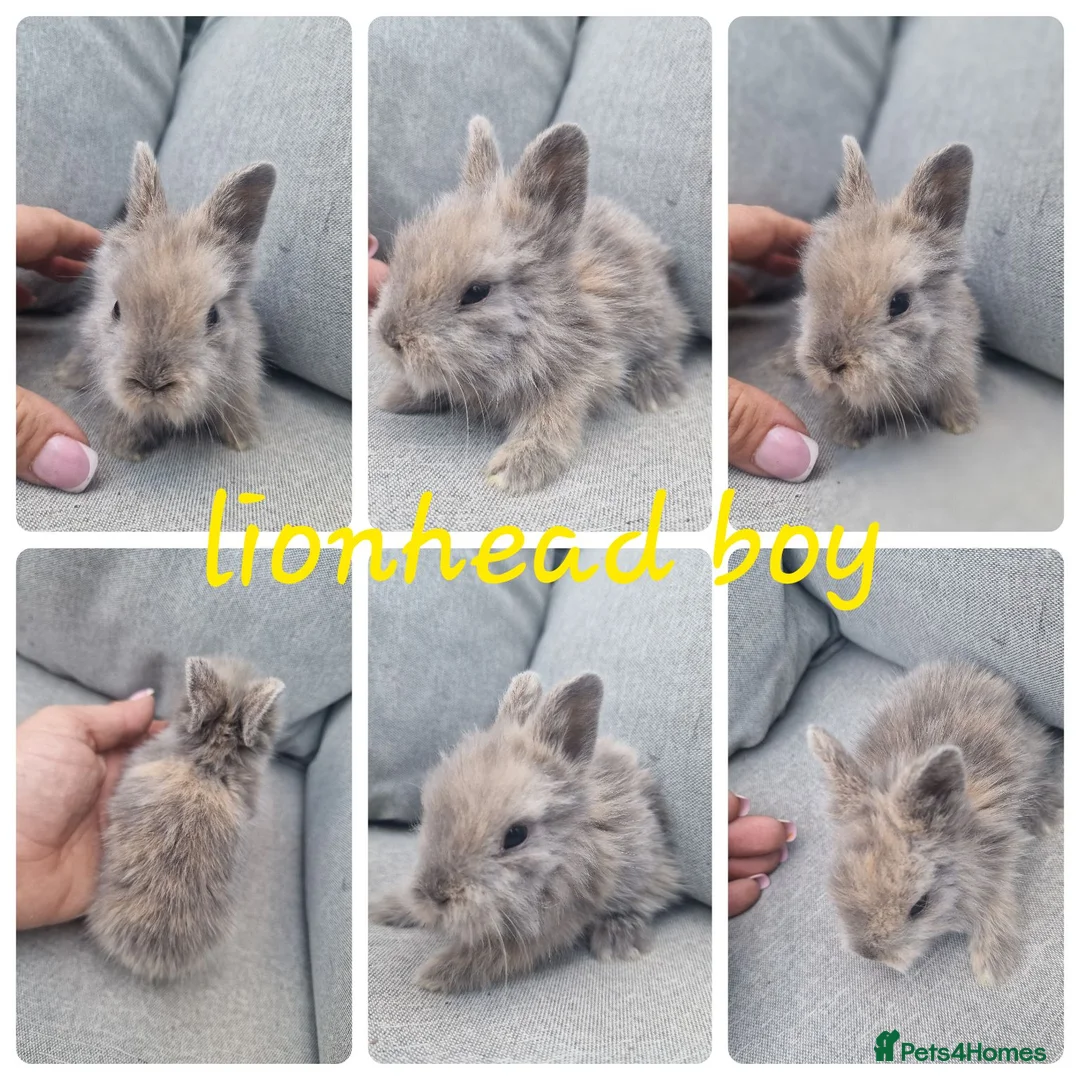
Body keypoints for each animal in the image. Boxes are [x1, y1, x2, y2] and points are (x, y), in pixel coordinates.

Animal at [369, 116, 691, 494]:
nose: (391, 338)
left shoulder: (581, 376)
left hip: (657, 319)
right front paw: (397, 397)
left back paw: (659, 392)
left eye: (477, 291)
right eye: (403, 251)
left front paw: (514, 470)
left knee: (671, 343)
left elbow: (551, 420)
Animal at [369, 671, 682, 992]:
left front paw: (434, 974)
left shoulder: (556, 919)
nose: (435, 897)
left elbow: (498, 954)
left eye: (516, 835)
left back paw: (618, 939)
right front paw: (383, 909)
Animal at [791, 137, 982, 448]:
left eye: (900, 303)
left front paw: (962, 423)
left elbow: (956, 391)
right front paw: (846, 435)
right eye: (812, 287)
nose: (829, 365)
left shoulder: (959, 363)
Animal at [807, 661, 1062, 986]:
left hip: (1032, 750)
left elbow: (996, 902)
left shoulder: (999, 859)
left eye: (920, 906)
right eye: (840, 880)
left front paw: (992, 967)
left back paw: (1051, 815)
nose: (871, 954)